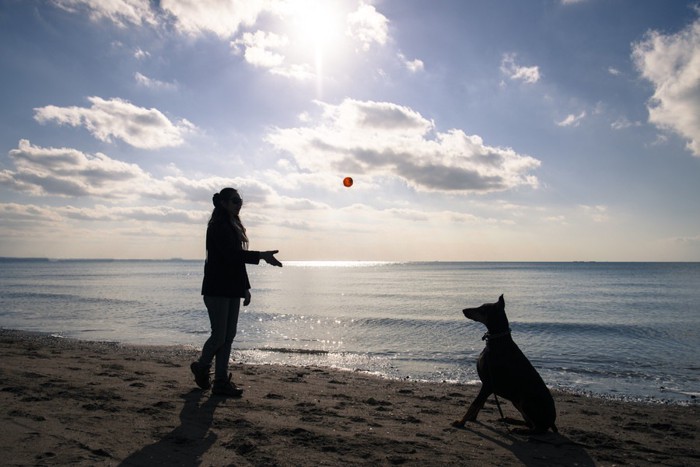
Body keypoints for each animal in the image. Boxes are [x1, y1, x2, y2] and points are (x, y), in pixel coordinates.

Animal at [454, 296, 556, 436]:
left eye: (483, 309)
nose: (464, 310)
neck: (497, 340)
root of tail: (553, 420)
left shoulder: (488, 384)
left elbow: (475, 403)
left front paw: (461, 422)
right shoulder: (487, 384)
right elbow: (480, 403)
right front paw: (472, 418)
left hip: (526, 402)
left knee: (539, 429)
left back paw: (521, 430)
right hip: (516, 401)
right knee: (530, 423)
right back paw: (511, 420)